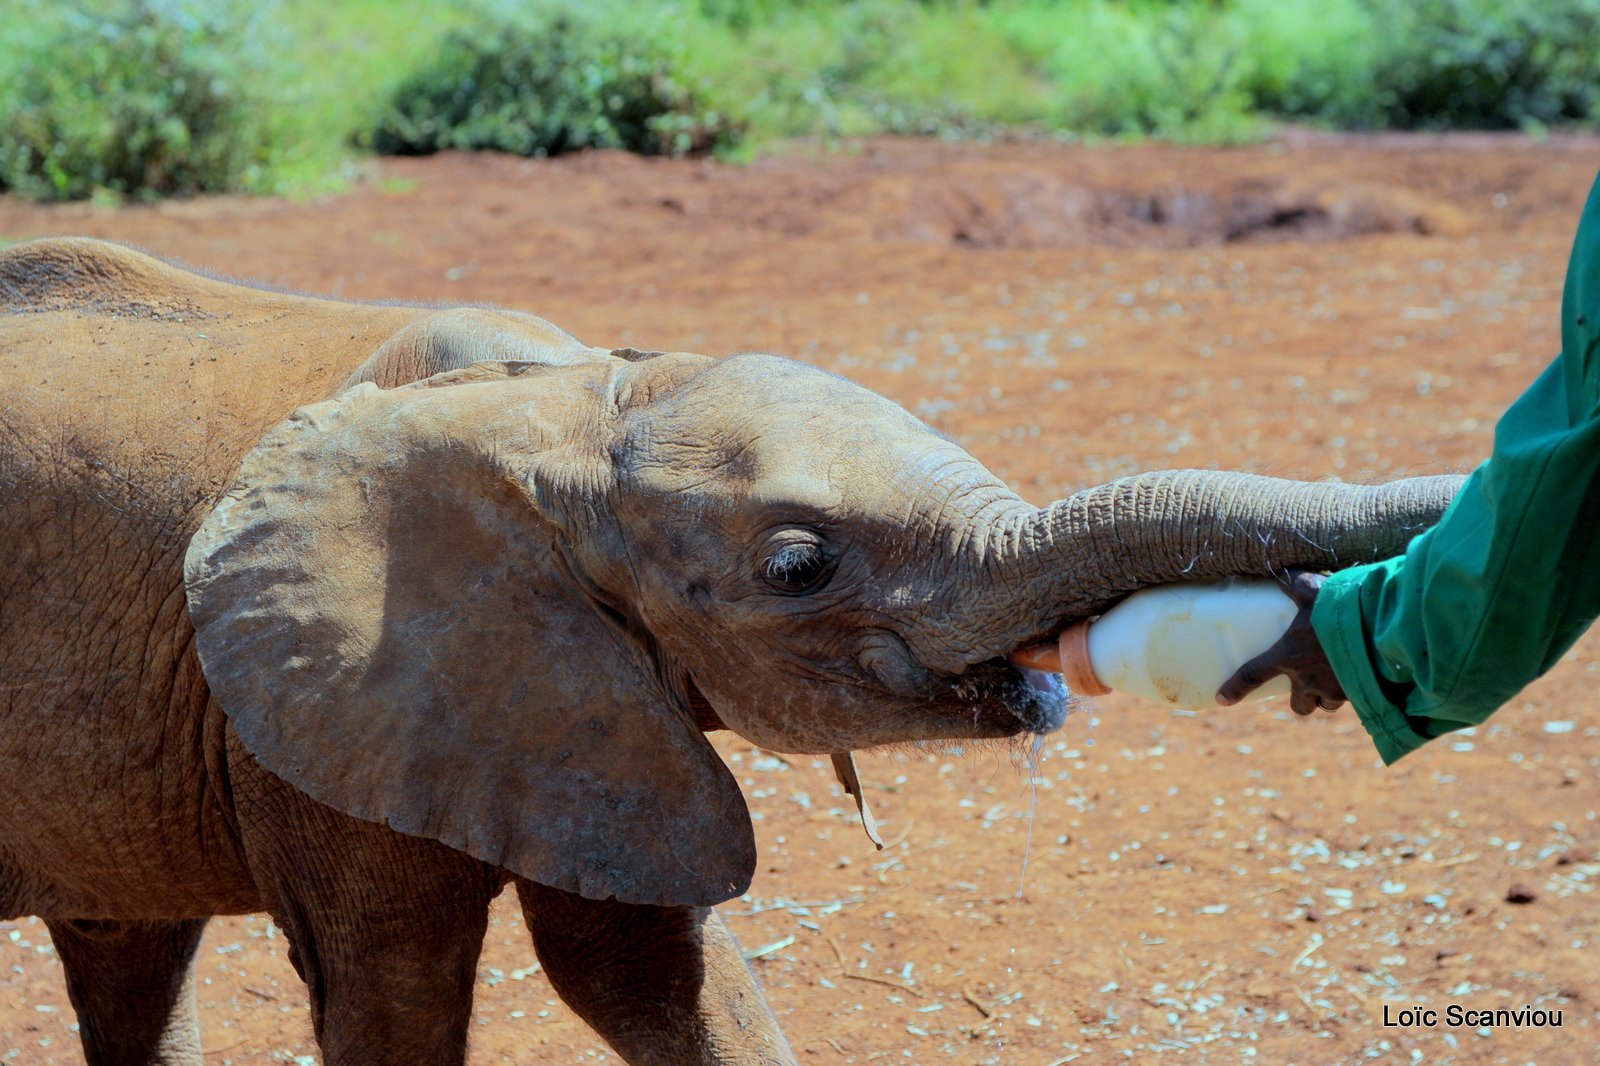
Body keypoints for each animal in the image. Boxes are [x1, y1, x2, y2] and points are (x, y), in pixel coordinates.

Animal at [0, 236, 1459, 1056]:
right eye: (799, 566)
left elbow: (649, 967)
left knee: (128, 947)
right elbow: (396, 986)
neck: (552, 405)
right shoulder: (320, 703)